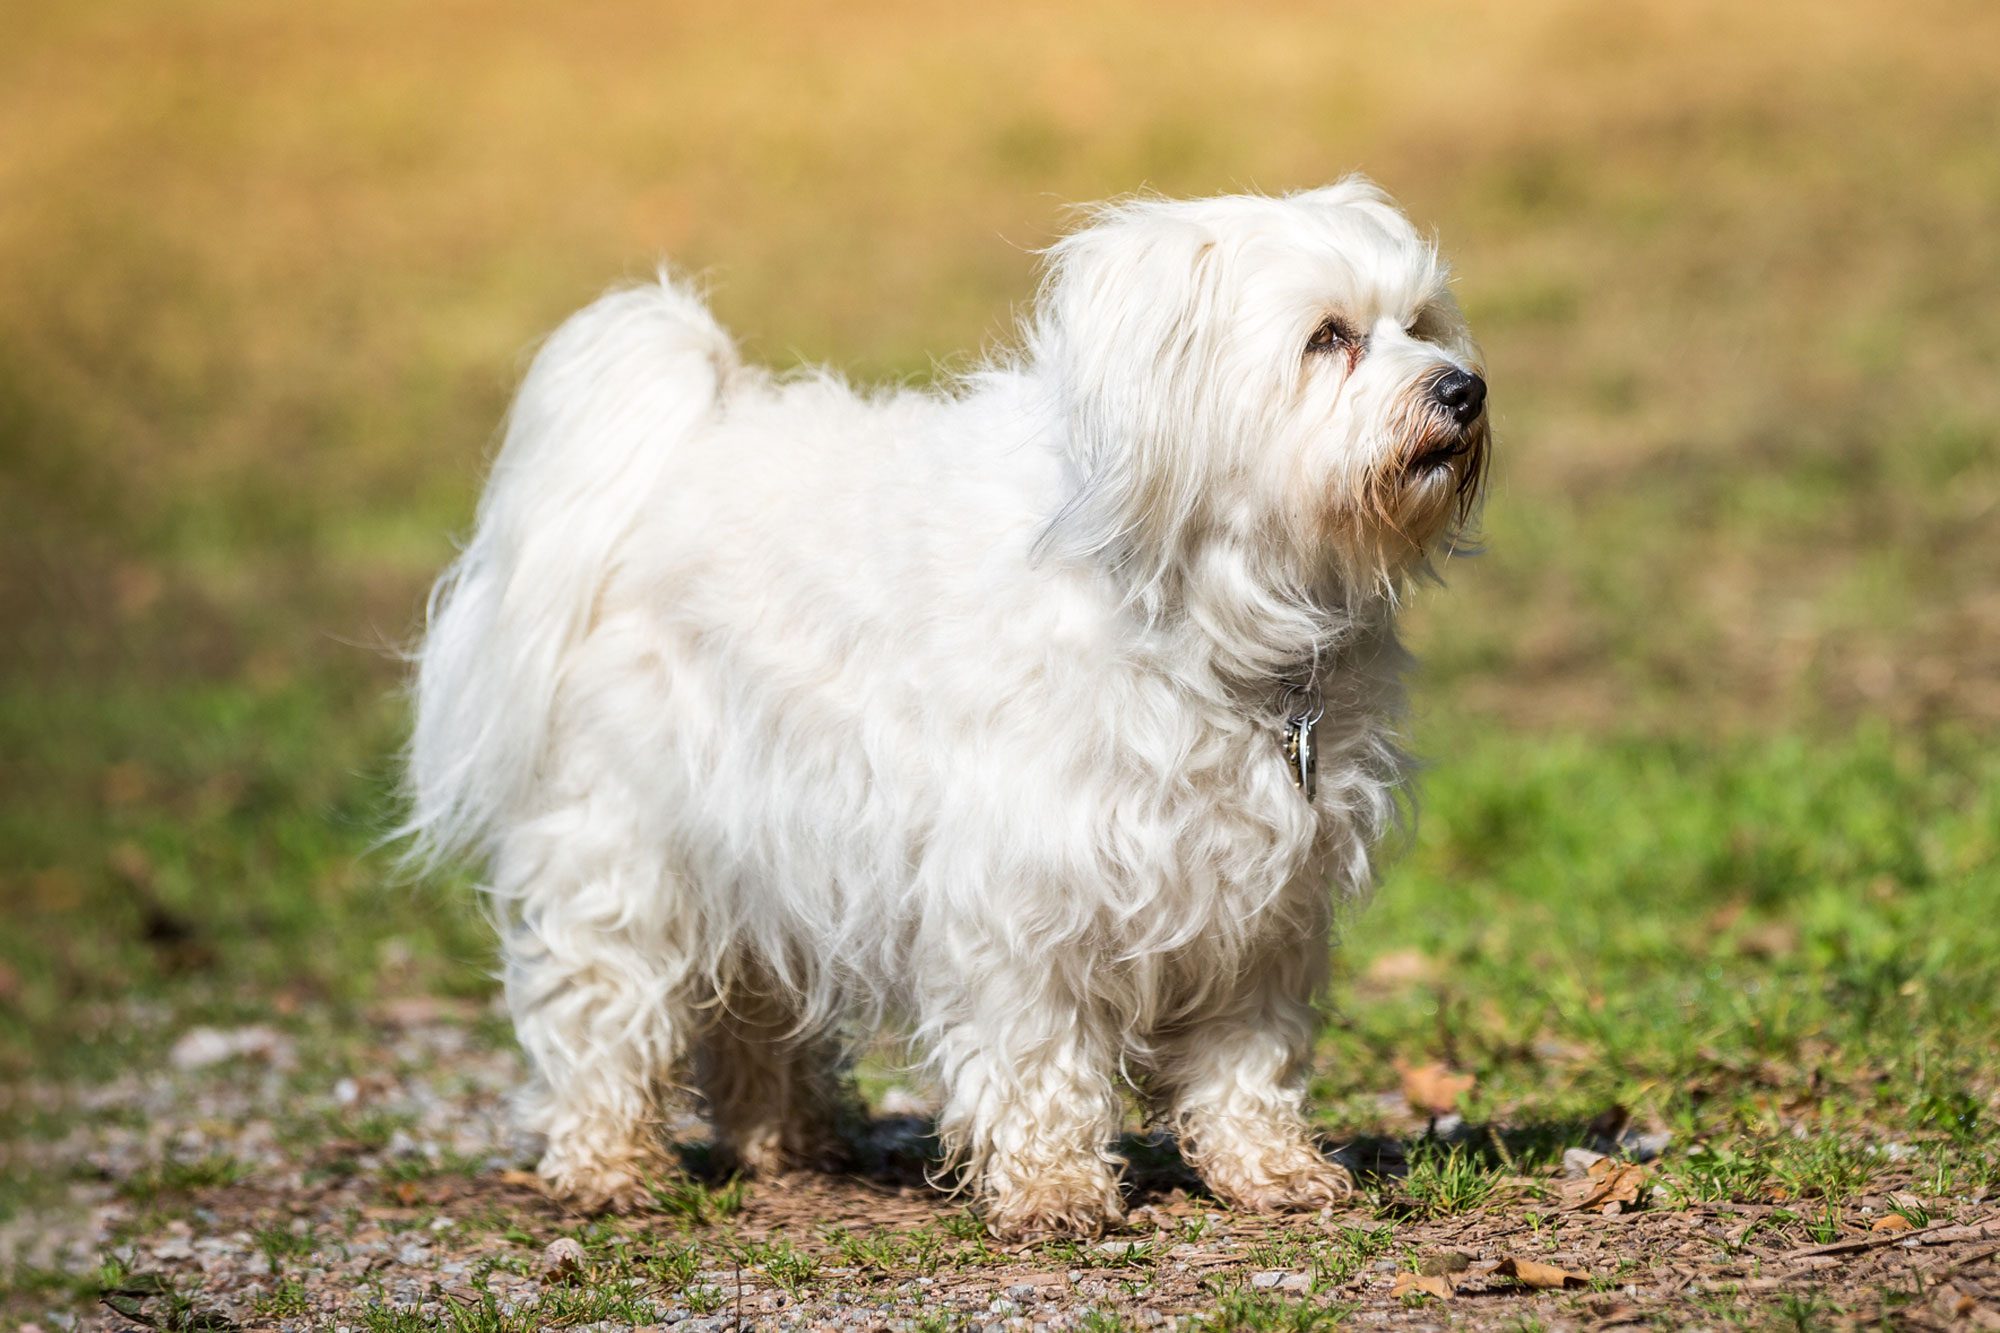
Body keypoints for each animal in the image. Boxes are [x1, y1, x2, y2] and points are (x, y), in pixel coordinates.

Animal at [410, 176, 1488, 1232]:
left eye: (1421, 322)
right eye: (1328, 336)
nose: (1463, 388)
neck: (1210, 610)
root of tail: (675, 454)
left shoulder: (1261, 898)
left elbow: (1246, 1051)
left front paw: (1269, 1166)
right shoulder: (1026, 883)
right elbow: (1039, 1046)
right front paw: (1054, 1187)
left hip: (761, 841)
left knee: (754, 997)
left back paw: (786, 1138)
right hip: (632, 842)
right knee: (602, 999)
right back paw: (607, 1163)